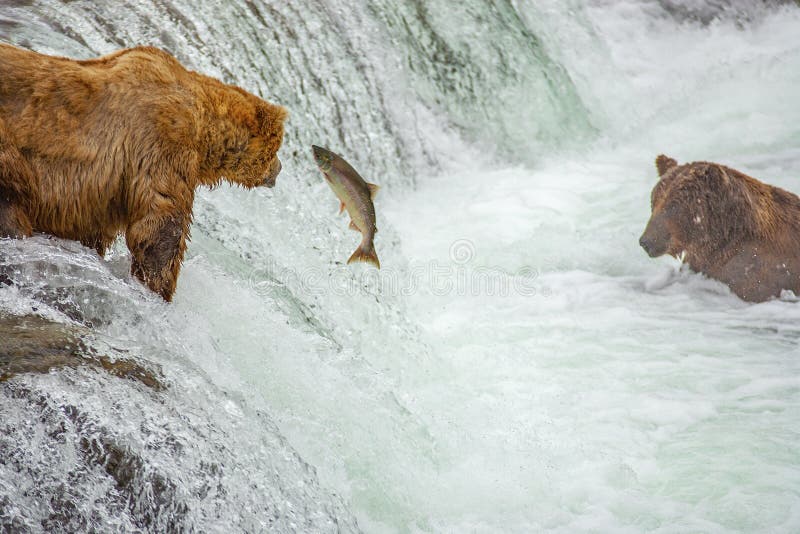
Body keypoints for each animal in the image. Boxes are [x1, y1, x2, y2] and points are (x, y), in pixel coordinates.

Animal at [0, 44, 288, 304]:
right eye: (276, 148)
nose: (280, 167)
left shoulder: (98, 199)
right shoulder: (162, 139)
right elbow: (160, 223)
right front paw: (157, 291)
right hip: (11, 158)